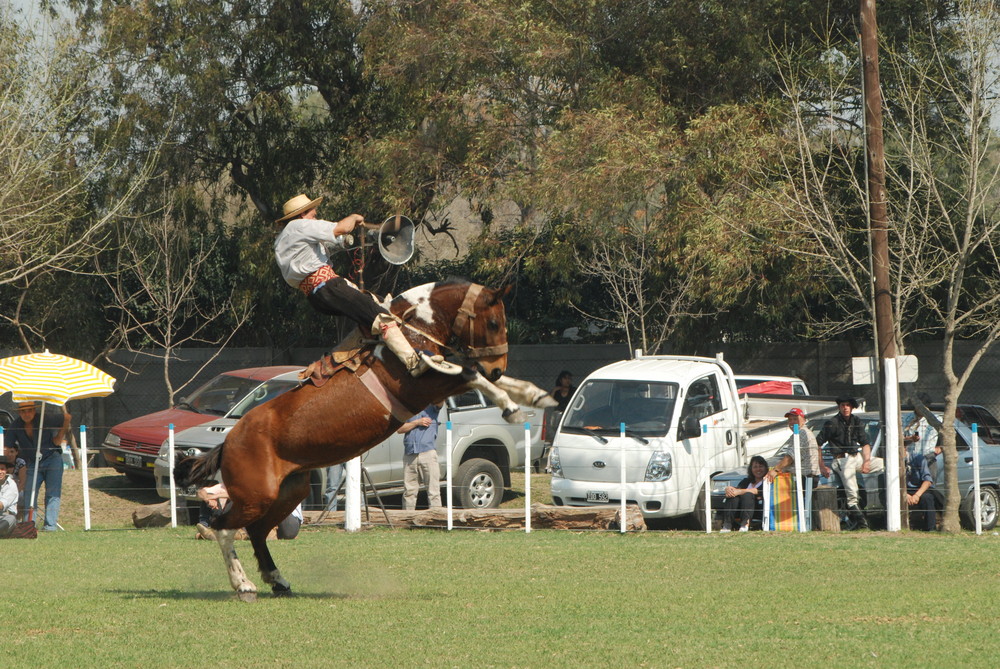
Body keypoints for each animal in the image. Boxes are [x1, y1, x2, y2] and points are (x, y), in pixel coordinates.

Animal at [180, 280, 556, 604]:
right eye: (493, 322)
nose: (498, 367)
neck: (409, 332)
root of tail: (229, 441)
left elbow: (480, 375)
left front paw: (534, 395)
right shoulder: (425, 384)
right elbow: (469, 372)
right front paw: (509, 405)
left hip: (289, 491)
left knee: (257, 531)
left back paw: (277, 580)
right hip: (256, 496)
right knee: (224, 528)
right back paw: (243, 585)